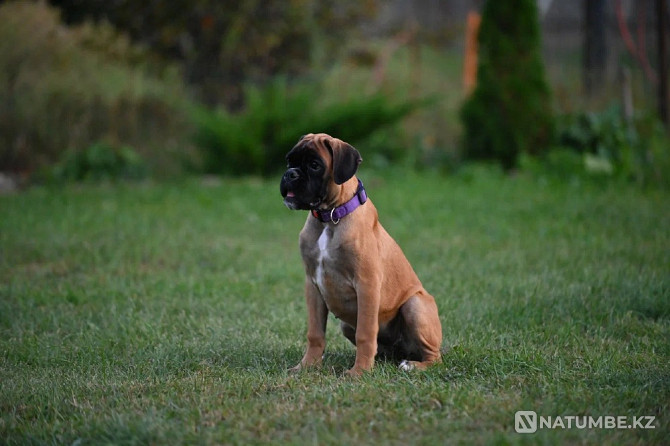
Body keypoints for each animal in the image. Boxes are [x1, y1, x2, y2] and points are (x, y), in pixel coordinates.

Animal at [280, 133, 444, 376]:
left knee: (434, 357)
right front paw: (306, 366)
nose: (290, 174)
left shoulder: (367, 285)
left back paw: (412, 365)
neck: (330, 217)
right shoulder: (313, 286)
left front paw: (359, 372)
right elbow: (315, 333)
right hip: (347, 325)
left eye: (315, 165)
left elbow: (366, 334)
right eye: (290, 161)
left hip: (415, 305)